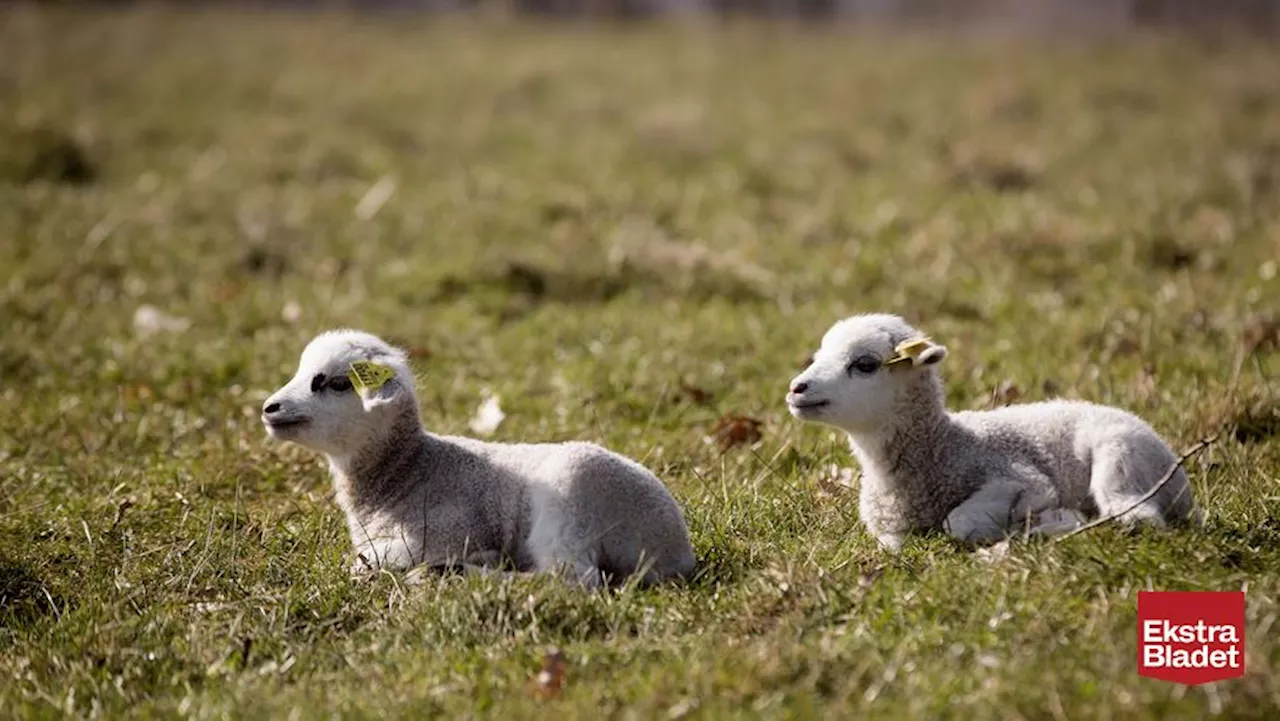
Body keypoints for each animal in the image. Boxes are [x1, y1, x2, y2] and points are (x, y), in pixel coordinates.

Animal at [262, 330, 701, 589]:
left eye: (336, 383)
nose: (269, 408)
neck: (408, 470)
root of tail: (675, 549)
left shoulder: (448, 529)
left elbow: (364, 561)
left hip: (572, 498)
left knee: (572, 579)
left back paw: (457, 573)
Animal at [783, 311, 1203, 553]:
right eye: (819, 356)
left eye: (865, 364)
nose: (796, 388)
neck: (942, 447)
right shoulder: (887, 531)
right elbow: (893, 544)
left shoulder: (1023, 478)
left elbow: (958, 522)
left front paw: (1031, 523)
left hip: (1122, 457)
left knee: (1135, 516)